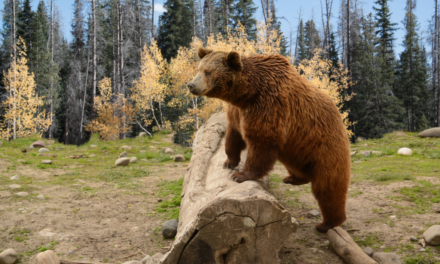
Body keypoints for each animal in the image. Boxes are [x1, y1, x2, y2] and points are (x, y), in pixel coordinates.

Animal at [188, 47, 350, 233]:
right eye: (198, 69)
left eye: (208, 72)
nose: (191, 85)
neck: (247, 94)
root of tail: (339, 116)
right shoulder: (237, 112)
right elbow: (233, 136)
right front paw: (229, 162)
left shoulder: (269, 106)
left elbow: (261, 142)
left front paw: (240, 175)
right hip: (297, 148)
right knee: (297, 165)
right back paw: (293, 178)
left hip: (325, 145)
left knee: (328, 186)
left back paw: (327, 223)